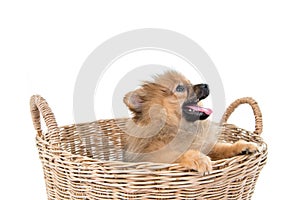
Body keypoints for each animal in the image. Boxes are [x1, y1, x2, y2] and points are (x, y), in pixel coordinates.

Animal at [122, 70, 258, 173]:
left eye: (190, 82)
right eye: (180, 88)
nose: (205, 85)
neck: (177, 127)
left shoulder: (206, 145)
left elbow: (222, 147)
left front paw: (243, 145)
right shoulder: (155, 156)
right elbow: (178, 153)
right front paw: (199, 159)